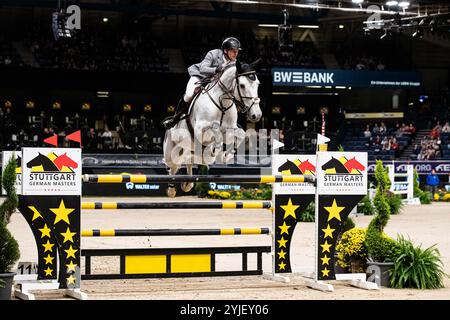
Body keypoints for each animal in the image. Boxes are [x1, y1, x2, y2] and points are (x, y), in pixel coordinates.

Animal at [163, 58, 262, 196]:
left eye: (257, 84)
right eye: (242, 85)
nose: (256, 115)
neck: (222, 103)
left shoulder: (230, 129)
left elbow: (240, 135)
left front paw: (226, 156)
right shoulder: (201, 130)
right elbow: (216, 134)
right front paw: (217, 151)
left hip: (191, 149)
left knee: (189, 160)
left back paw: (187, 184)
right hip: (171, 150)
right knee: (172, 166)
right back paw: (172, 189)